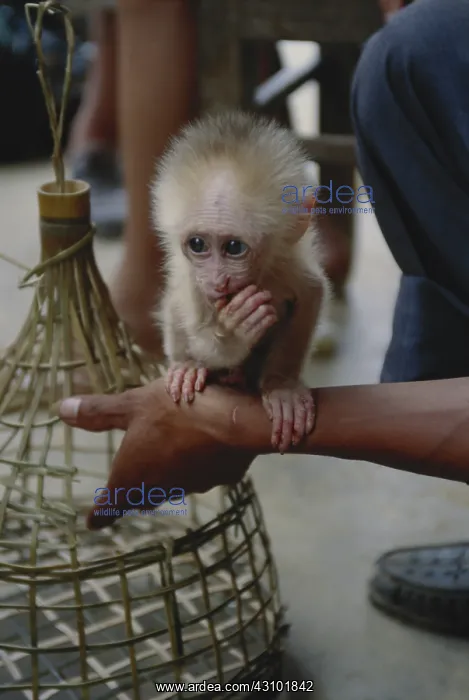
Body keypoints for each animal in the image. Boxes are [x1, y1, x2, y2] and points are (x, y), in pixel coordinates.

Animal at [151, 111, 328, 454]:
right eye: (198, 244)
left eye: (234, 248)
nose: (218, 279)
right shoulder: (194, 280)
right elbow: (180, 305)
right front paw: (230, 336)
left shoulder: (288, 264)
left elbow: (312, 293)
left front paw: (282, 386)